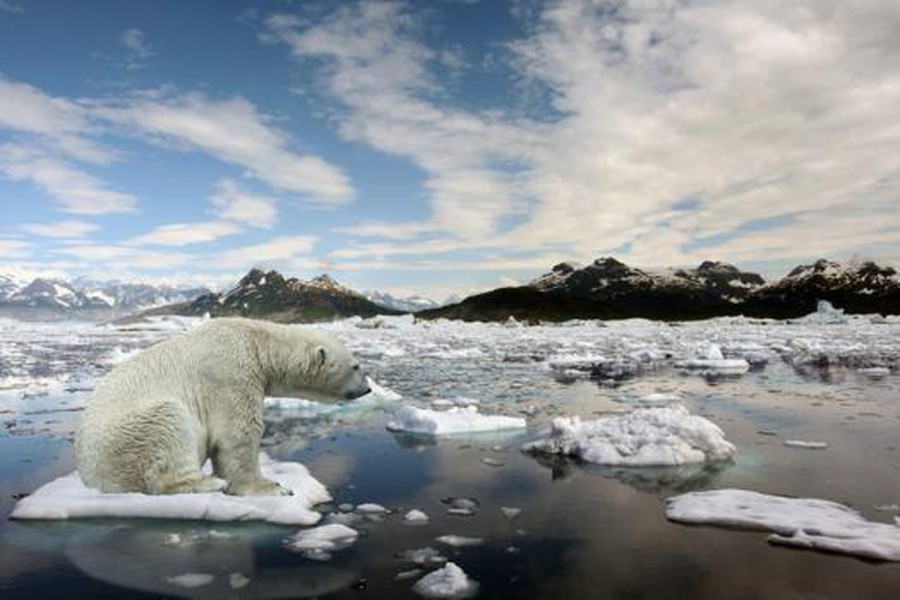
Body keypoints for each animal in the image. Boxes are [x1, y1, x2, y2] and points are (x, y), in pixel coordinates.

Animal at [74, 318, 370, 496]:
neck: (255, 342)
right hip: (130, 435)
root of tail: (91, 480)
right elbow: (238, 435)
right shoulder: (230, 375)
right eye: (356, 366)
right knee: (168, 425)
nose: (367, 389)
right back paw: (208, 483)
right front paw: (273, 487)